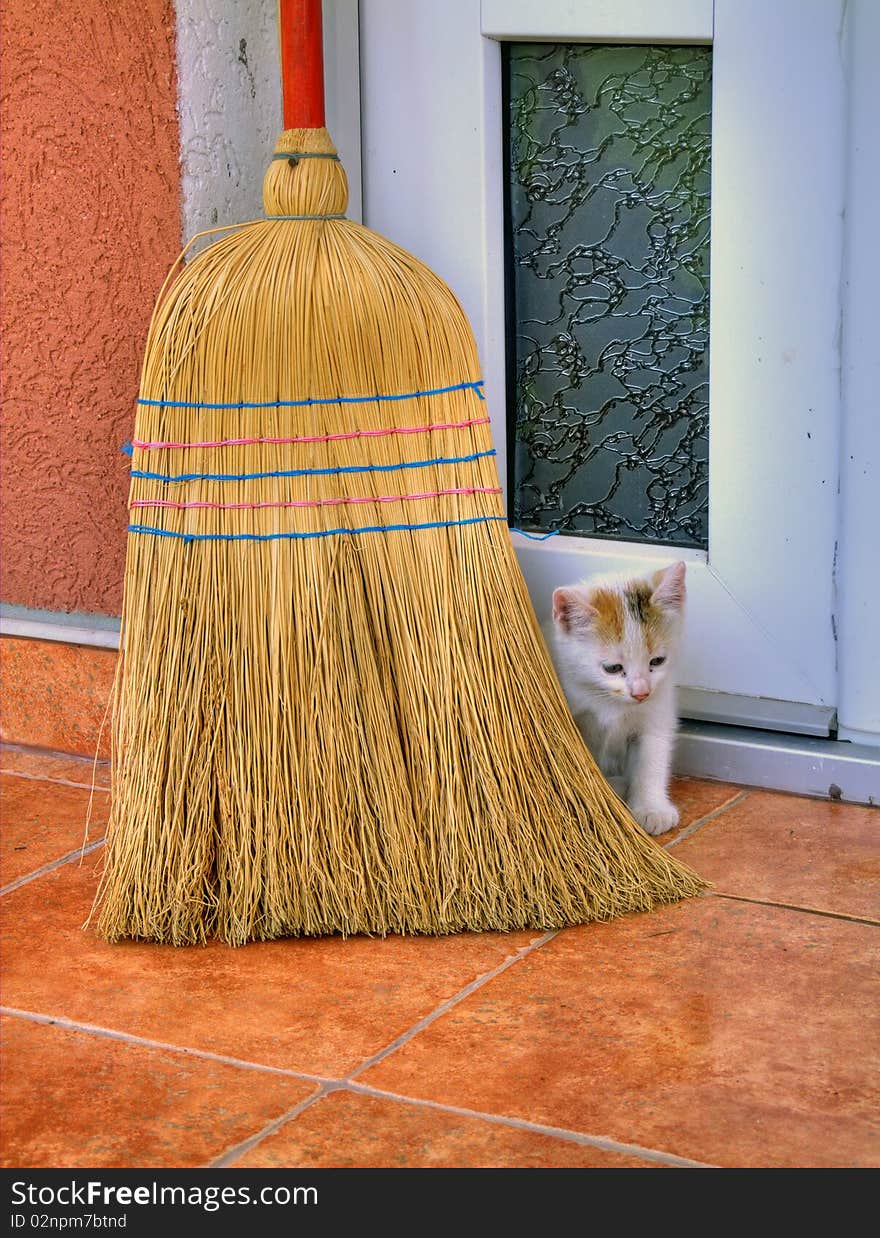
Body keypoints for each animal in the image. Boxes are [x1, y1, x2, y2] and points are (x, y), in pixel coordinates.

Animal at [549, 564, 688, 836]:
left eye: (657, 661)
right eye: (612, 668)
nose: (641, 692)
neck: (611, 703)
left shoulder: (656, 712)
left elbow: (652, 758)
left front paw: (652, 808)